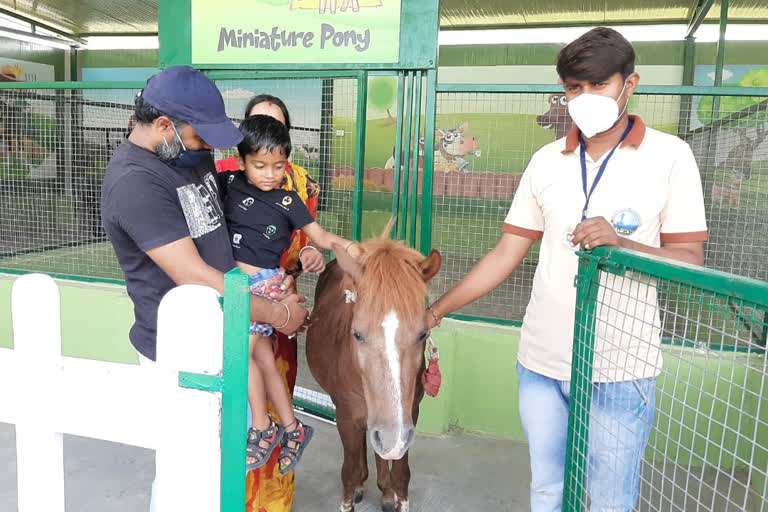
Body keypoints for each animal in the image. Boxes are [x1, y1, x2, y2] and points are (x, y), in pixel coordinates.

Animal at [304, 233, 438, 512]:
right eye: (357, 334)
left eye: (423, 334)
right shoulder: (345, 416)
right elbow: (349, 472)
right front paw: (354, 487)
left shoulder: (409, 415)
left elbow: (401, 474)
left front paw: (392, 493)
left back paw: (385, 491)